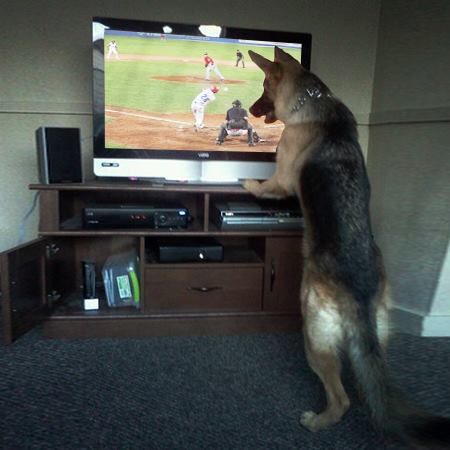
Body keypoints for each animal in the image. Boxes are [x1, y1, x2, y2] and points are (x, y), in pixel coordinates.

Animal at [246, 47, 450, 448]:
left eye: (263, 87)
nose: (249, 109)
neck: (313, 100)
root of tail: (359, 292)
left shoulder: (281, 178)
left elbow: (265, 186)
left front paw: (248, 184)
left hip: (314, 335)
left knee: (341, 398)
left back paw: (318, 420)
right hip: (377, 335)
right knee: (361, 377)